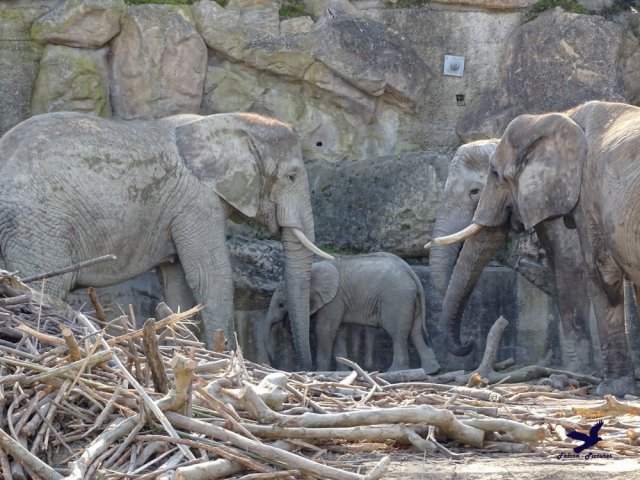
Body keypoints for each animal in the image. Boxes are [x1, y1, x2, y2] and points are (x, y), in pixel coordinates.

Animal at [0, 111, 332, 366]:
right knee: (48, 286)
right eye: (291, 177)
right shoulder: (197, 202)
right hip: (39, 224)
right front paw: (224, 357)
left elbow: (178, 282)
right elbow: (210, 276)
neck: (230, 122)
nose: (303, 368)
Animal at [263, 252, 441, 373]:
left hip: (397, 298)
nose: (273, 362)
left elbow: (325, 330)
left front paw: (322, 371)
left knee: (397, 333)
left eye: (281, 304)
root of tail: (410, 271)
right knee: (415, 331)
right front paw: (343, 372)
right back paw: (432, 370)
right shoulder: (340, 301)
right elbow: (339, 331)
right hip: (409, 298)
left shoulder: (335, 299)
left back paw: (395, 371)